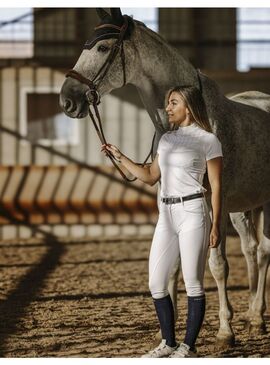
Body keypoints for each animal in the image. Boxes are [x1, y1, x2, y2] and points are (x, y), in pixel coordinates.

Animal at [59, 7, 270, 346]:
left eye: (103, 48)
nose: (67, 100)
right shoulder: (170, 201)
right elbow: (172, 266)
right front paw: (166, 331)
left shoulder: (215, 201)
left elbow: (217, 264)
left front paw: (225, 330)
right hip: (245, 206)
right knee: (253, 251)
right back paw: (255, 317)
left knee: (263, 252)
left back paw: (253, 317)